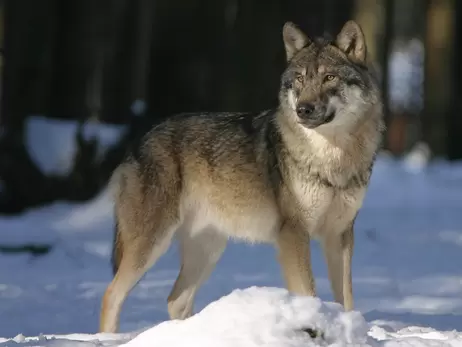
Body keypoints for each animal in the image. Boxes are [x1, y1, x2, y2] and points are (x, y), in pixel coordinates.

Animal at [99, 19, 384, 334]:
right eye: (299, 79)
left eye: (329, 77)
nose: (303, 109)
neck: (332, 158)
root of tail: (138, 141)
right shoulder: (294, 234)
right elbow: (308, 291)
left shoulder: (340, 234)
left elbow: (346, 298)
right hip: (152, 245)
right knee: (111, 294)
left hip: (209, 249)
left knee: (175, 299)